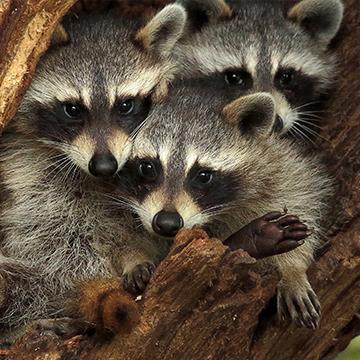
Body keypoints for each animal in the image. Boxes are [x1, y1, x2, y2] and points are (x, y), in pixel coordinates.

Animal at [0, 4, 186, 338]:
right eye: (73, 109)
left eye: (125, 105)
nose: (104, 165)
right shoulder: (25, 171)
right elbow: (54, 243)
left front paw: (134, 255)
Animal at [120, 82, 334, 330]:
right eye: (147, 167)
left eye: (203, 176)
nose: (166, 223)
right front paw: (134, 257)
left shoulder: (275, 162)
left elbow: (300, 194)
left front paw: (293, 270)